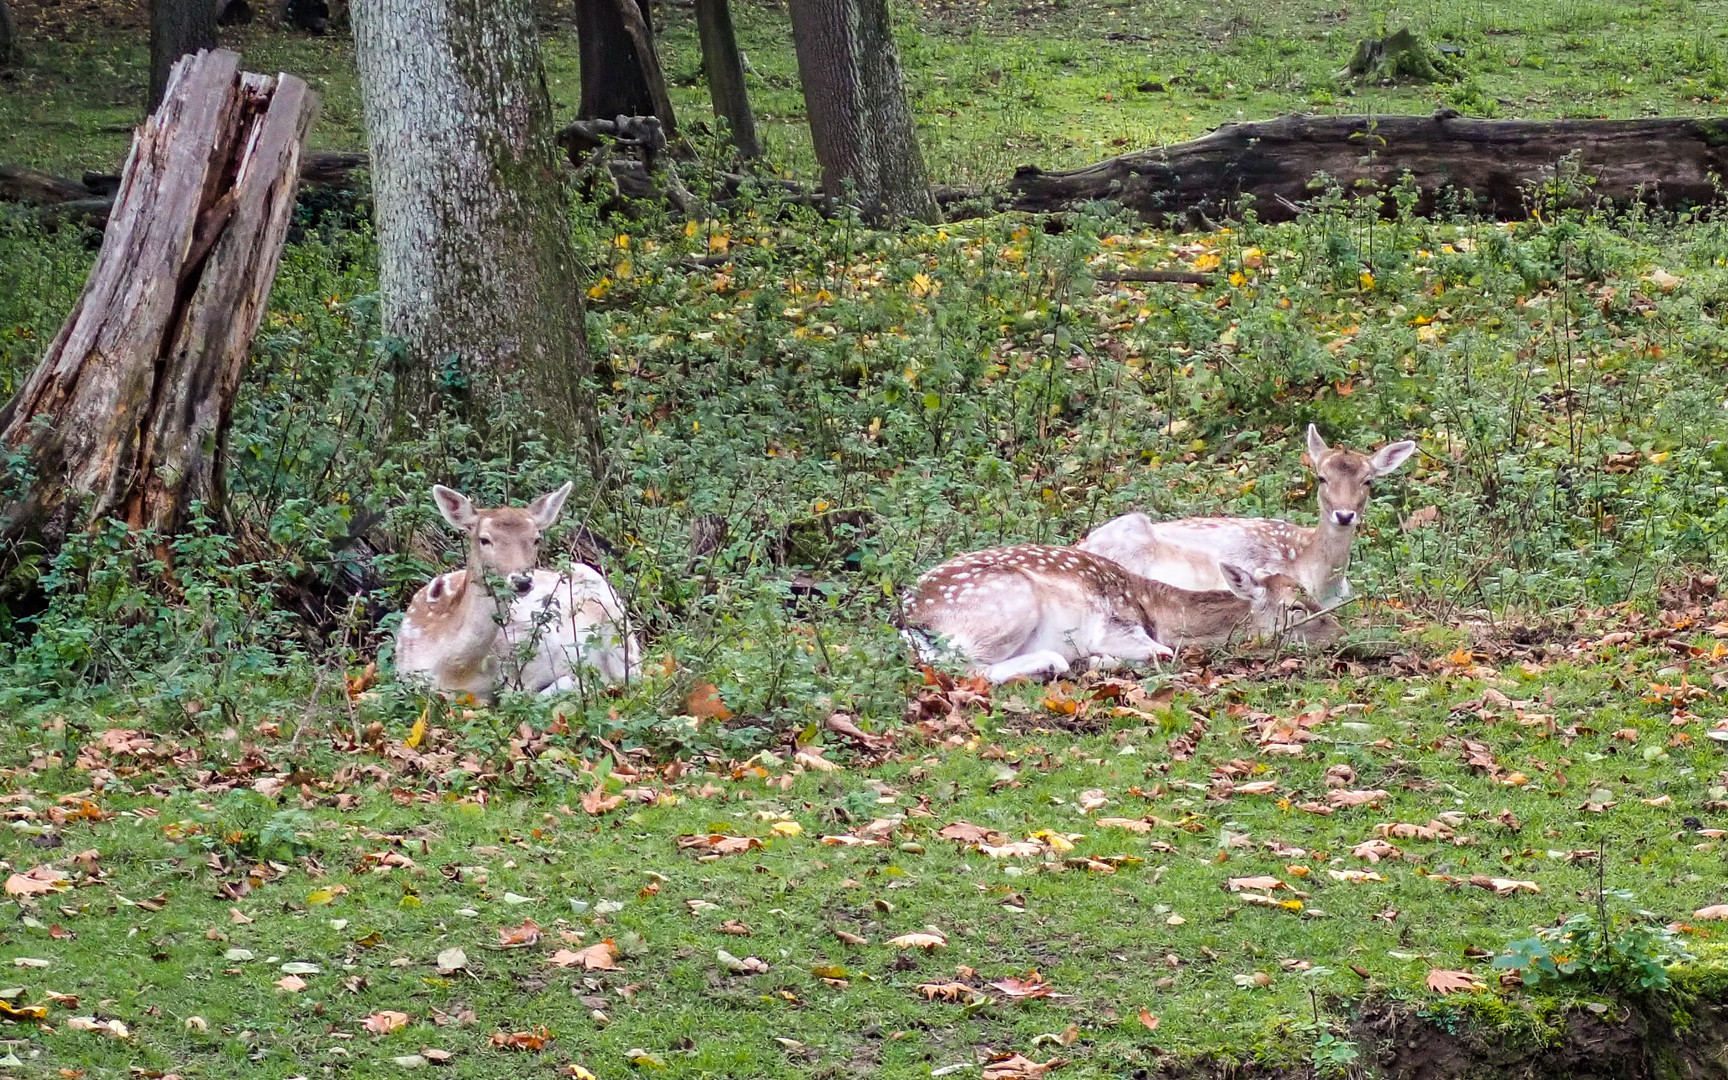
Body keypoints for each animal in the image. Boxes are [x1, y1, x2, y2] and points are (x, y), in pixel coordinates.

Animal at [898, 539, 1340, 680]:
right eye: (1294, 607)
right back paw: (1056, 663)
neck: (1159, 611)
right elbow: (1163, 654)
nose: (1339, 632)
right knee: (967, 669)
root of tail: (908, 621)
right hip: (1009, 602)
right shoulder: (1115, 626)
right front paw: (1095, 661)